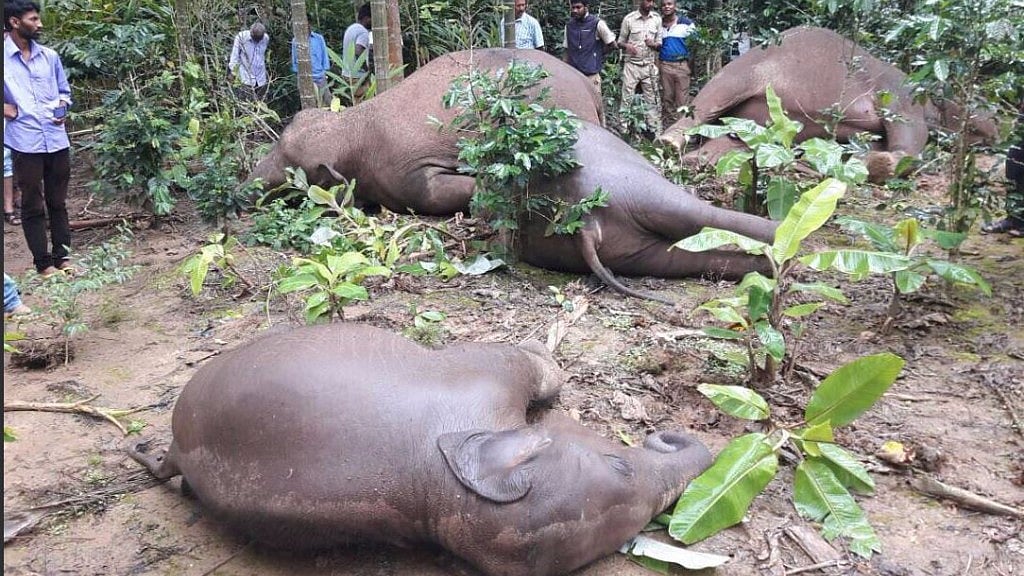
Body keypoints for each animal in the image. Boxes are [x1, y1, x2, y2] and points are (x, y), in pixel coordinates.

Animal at [658, 26, 998, 183]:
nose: (997, 127)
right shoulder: (901, 96)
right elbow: (909, 142)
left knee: (732, 140)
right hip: (742, 71)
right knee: (708, 101)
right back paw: (670, 144)